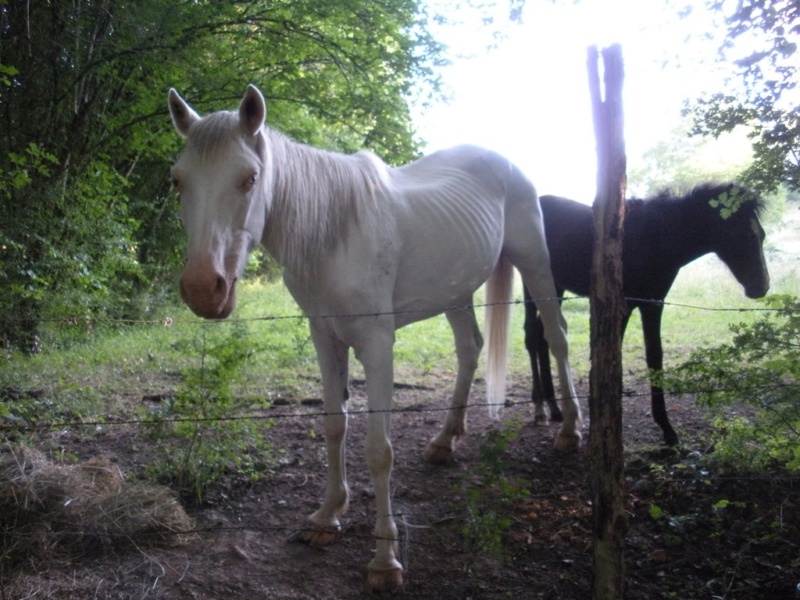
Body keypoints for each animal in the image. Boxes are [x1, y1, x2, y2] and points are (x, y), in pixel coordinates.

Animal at [167, 84, 580, 592]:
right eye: (177, 181)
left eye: (249, 178)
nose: (203, 289)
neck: (334, 234)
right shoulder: (325, 338)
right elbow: (334, 427)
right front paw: (326, 516)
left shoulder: (378, 346)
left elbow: (379, 451)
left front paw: (385, 559)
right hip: (456, 291)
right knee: (470, 349)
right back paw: (445, 440)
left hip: (535, 264)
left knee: (557, 337)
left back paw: (570, 430)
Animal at [524, 183, 768, 446]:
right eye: (741, 234)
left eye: (762, 235)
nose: (761, 286)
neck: (654, 237)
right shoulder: (625, 307)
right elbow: (613, 353)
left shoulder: (653, 303)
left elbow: (654, 355)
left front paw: (667, 429)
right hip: (533, 286)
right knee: (533, 335)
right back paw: (541, 410)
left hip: (555, 289)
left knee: (543, 336)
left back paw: (554, 409)